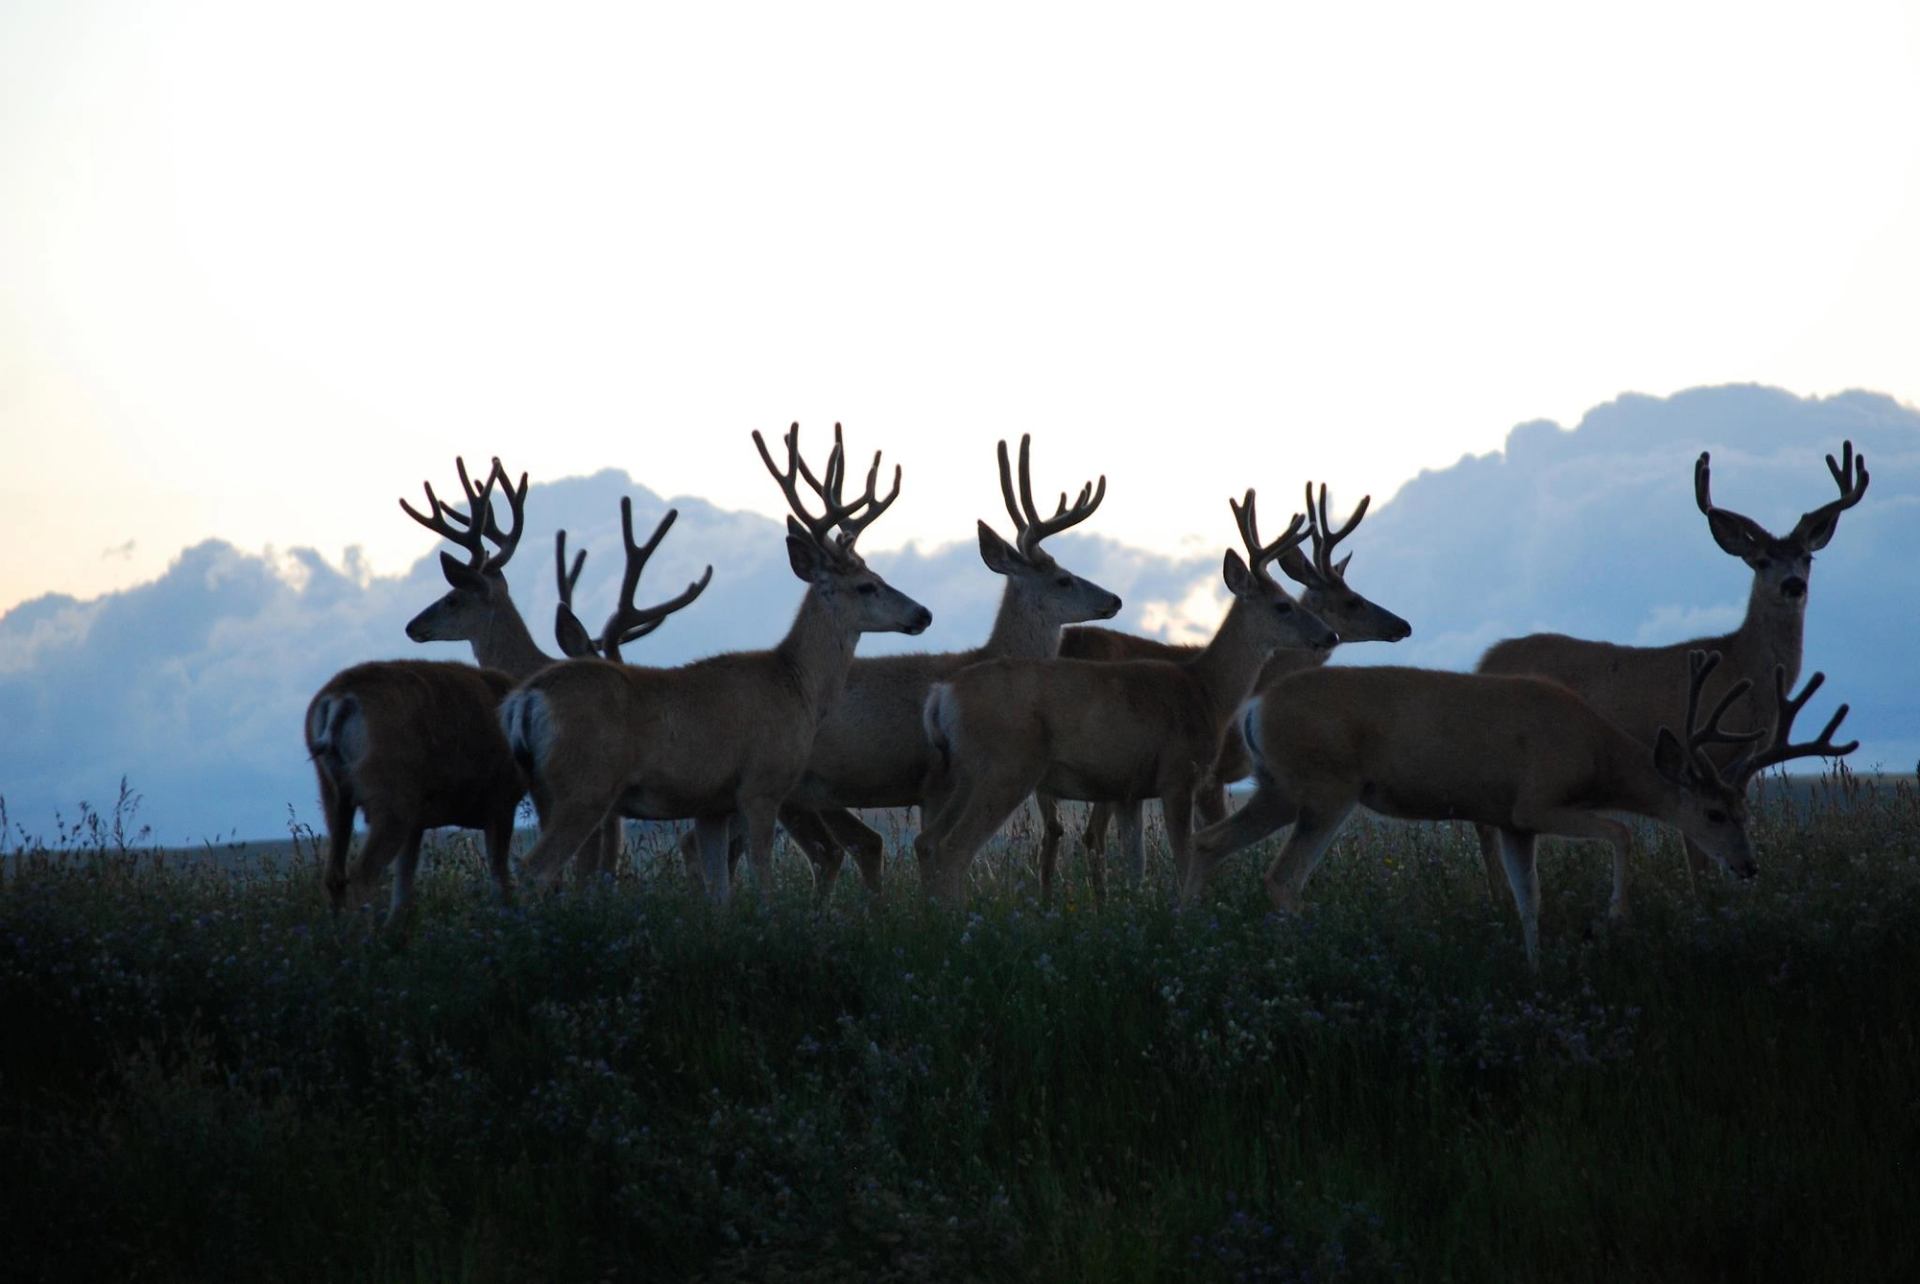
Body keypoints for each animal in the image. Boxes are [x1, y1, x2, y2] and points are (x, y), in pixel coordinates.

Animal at [502, 423, 932, 902]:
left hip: (546, 787)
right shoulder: (761, 785)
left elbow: (720, 892)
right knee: (534, 869)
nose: (922, 614)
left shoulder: (713, 804)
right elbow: (762, 880)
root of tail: (526, 698)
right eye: (867, 585)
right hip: (585, 785)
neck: (796, 685)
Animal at [912, 490, 1338, 903]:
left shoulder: (1129, 791)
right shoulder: (1178, 774)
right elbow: (1183, 858)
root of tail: (942, 695)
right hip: (1006, 766)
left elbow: (1137, 866)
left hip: (964, 772)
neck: (1205, 691)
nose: (1329, 634)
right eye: (1284, 606)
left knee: (927, 841)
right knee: (954, 848)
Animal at [1183, 651, 1857, 969]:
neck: (1593, 750)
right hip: (1325, 788)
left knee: (1209, 843)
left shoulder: (1509, 820)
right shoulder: (1538, 800)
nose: (1749, 865)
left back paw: (1182, 929)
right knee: (1282, 877)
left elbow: (1528, 897)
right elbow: (1621, 831)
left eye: (1746, 811)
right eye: (1716, 814)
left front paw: (1537, 969)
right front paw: (1612, 918)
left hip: (1279, 787)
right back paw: (1311, 949)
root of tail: (1254, 708)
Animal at [1473, 440, 1868, 915]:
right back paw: (1498, 900)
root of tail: (1483, 661)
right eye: (1760, 561)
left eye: (1807, 557)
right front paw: (1705, 904)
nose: (1793, 585)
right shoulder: (1701, 752)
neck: (1744, 670)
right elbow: (1696, 848)